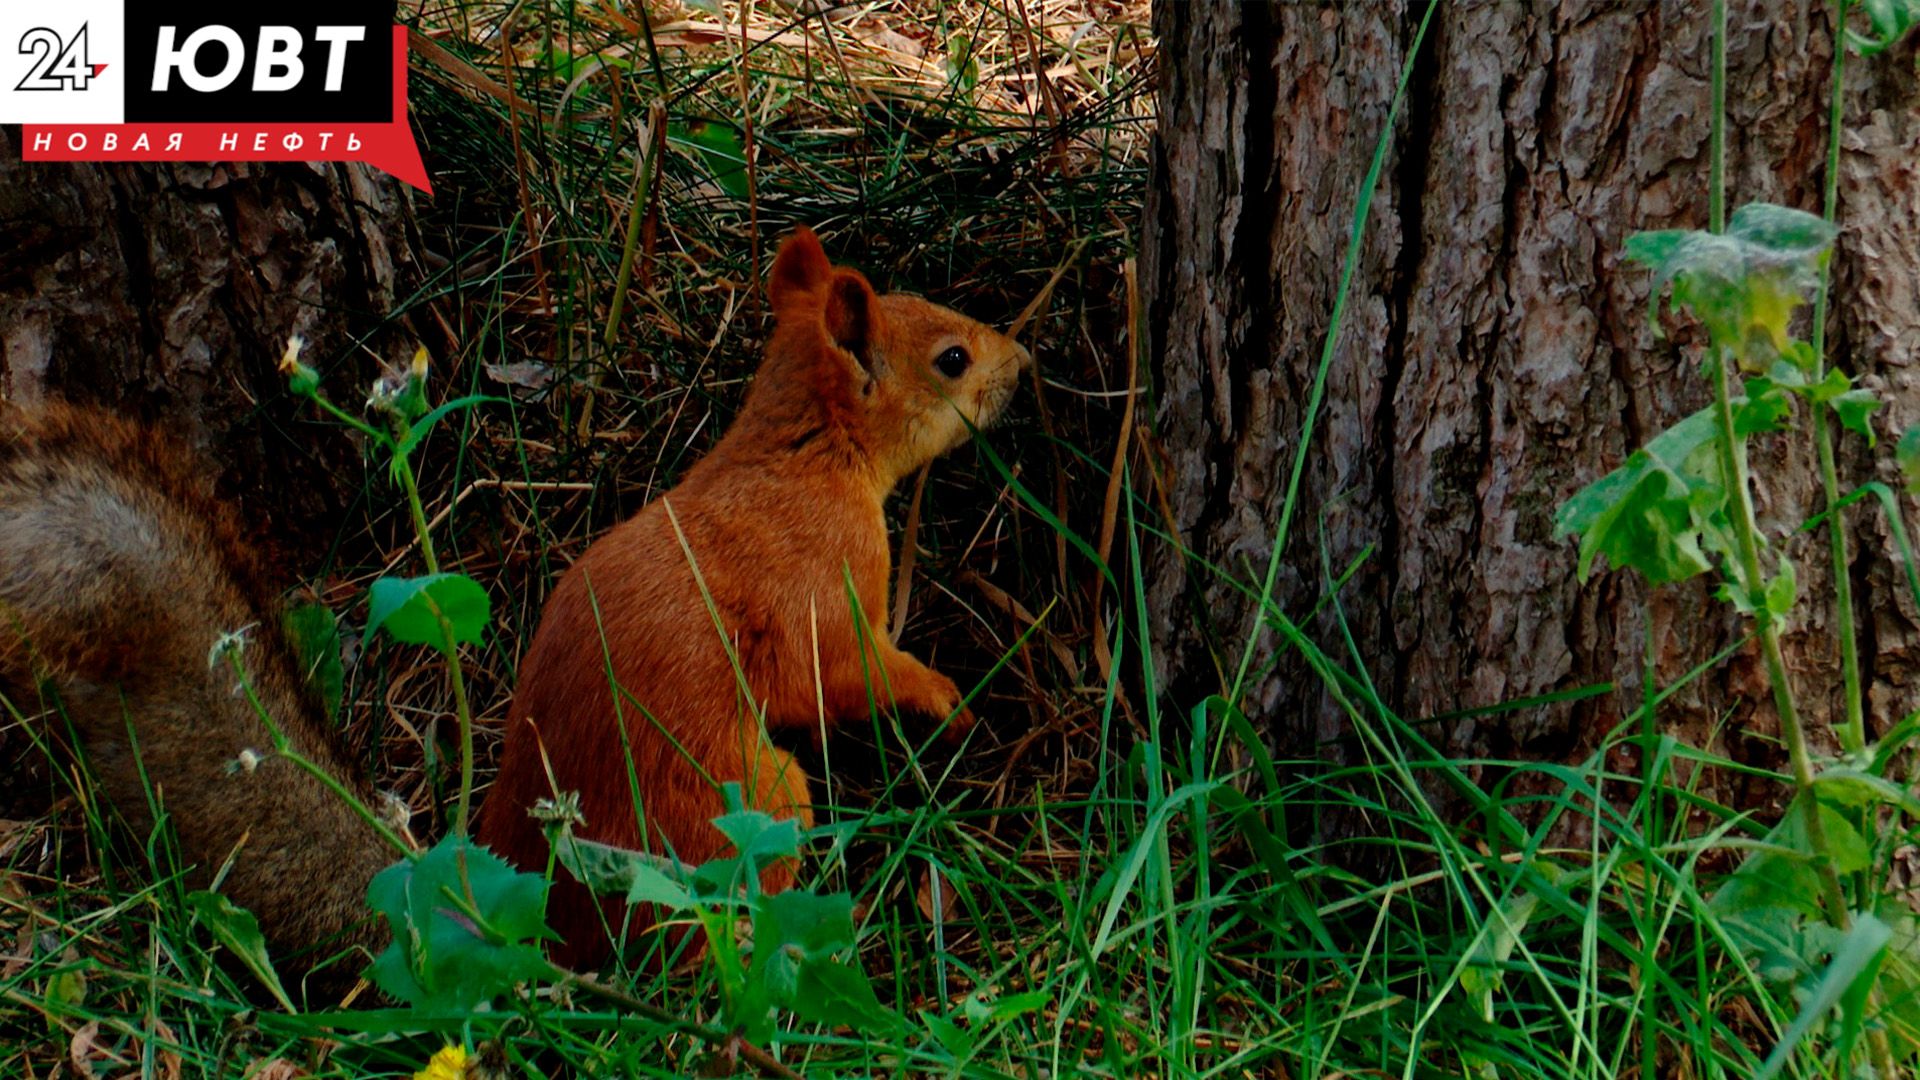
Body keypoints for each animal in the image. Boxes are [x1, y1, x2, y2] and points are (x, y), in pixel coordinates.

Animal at [477, 226, 1031, 968]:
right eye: (953, 359)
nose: (1024, 362)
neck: (808, 456)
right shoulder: (830, 594)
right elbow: (849, 675)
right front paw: (946, 699)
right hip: (758, 799)